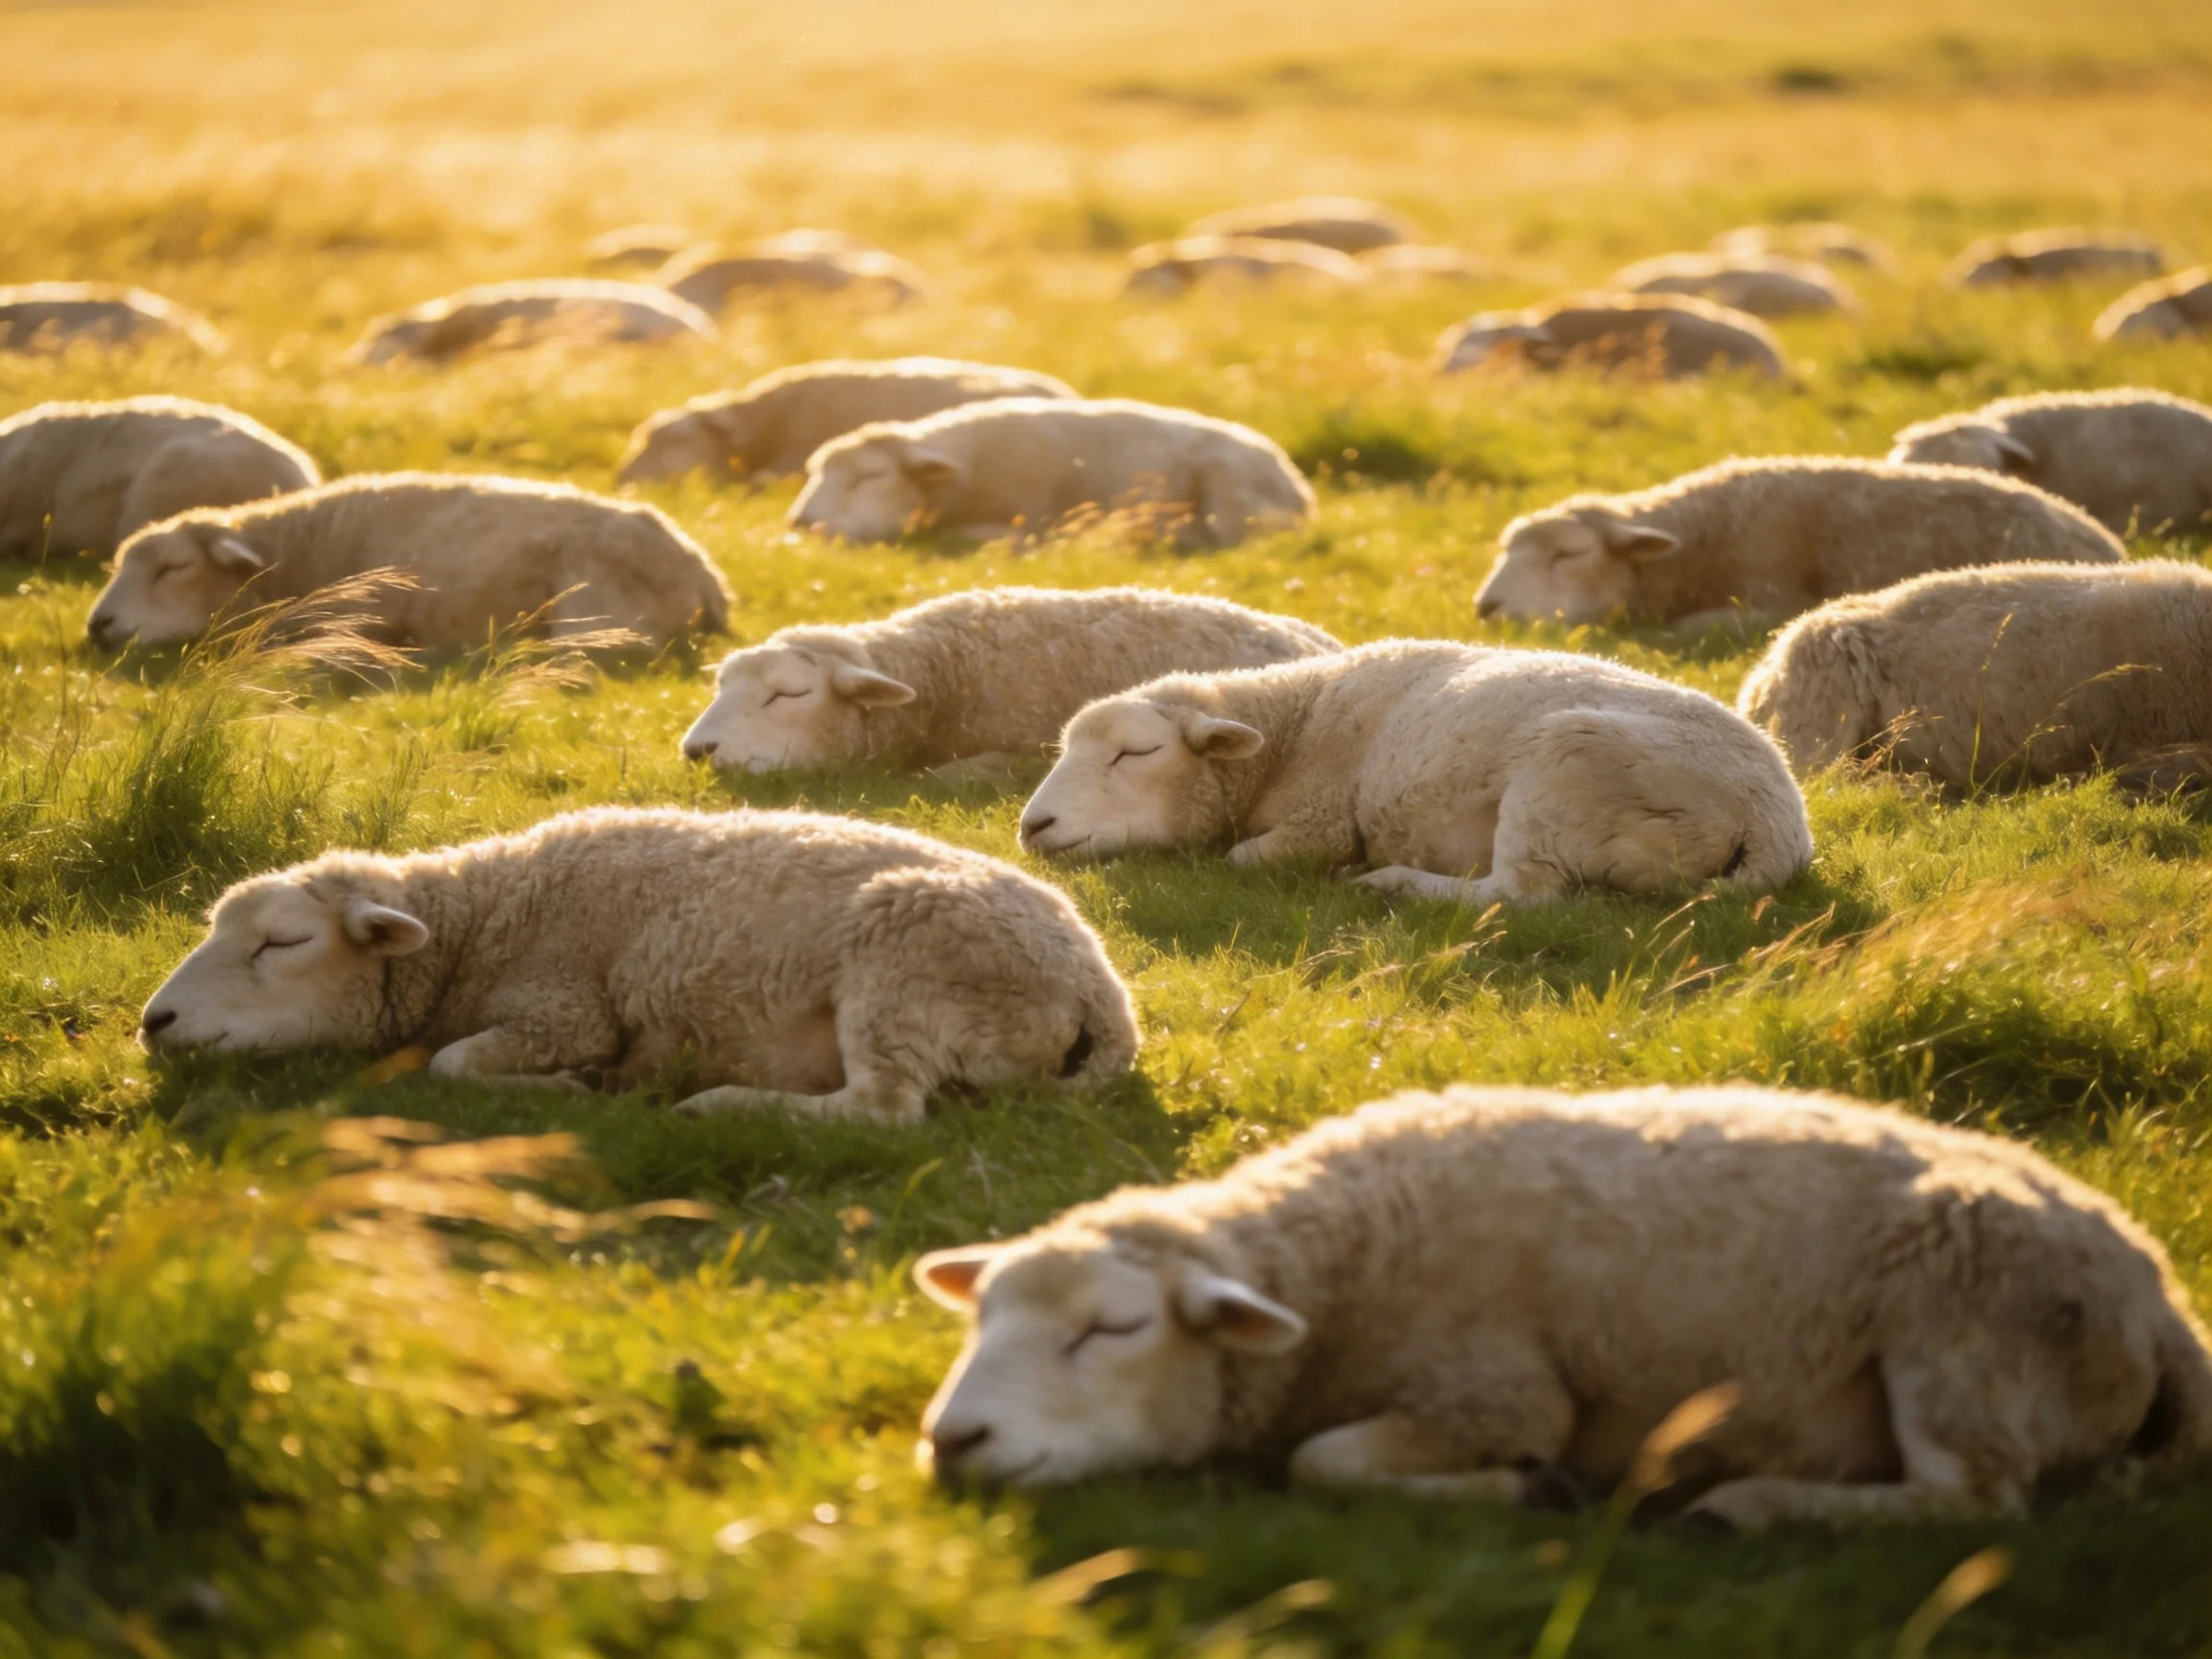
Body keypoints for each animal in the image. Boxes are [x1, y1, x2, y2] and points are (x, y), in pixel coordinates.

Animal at [137, 806, 1138, 1123]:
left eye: (283, 942)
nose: (155, 1022)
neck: (481, 919)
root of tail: (1103, 988)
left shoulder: (566, 1009)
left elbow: (451, 1063)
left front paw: (575, 1087)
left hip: (903, 965)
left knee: (883, 1110)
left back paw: (717, 1105)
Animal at [789, 398, 1316, 552]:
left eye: (869, 476)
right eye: (814, 473)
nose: (801, 522)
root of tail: (1300, 487)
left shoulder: (1027, 511)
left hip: (1231, 498)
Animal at [914, 1081, 2212, 1528]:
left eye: (1115, 1328)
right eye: (981, 1322)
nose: (952, 1439)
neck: (1345, 1260)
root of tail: (2159, 1291)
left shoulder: (1498, 1392)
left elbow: (1321, 1465)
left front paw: (1532, 1489)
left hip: (1963, 1332)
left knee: (1979, 1503)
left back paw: (1741, 1507)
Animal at [1016, 640, 1812, 907]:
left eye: (1136, 753)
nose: (1033, 826)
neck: (1294, 723)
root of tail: (1779, 823)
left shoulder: (1320, 822)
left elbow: (1242, 858)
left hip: (1563, 771)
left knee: (1525, 895)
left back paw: (1389, 883)